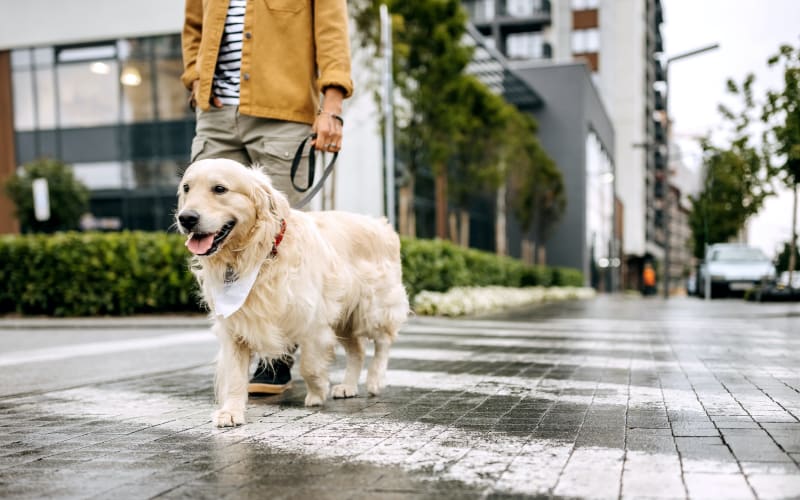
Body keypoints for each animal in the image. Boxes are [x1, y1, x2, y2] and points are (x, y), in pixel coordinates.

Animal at [177, 159, 410, 426]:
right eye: (186, 188)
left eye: (219, 189)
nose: (186, 218)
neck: (260, 255)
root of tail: (381, 223)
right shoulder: (235, 325)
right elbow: (235, 375)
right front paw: (231, 411)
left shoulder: (312, 319)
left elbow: (308, 364)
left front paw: (318, 390)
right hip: (344, 317)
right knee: (358, 351)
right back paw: (348, 386)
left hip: (374, 308)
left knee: (383, 343)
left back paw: (375, 379)